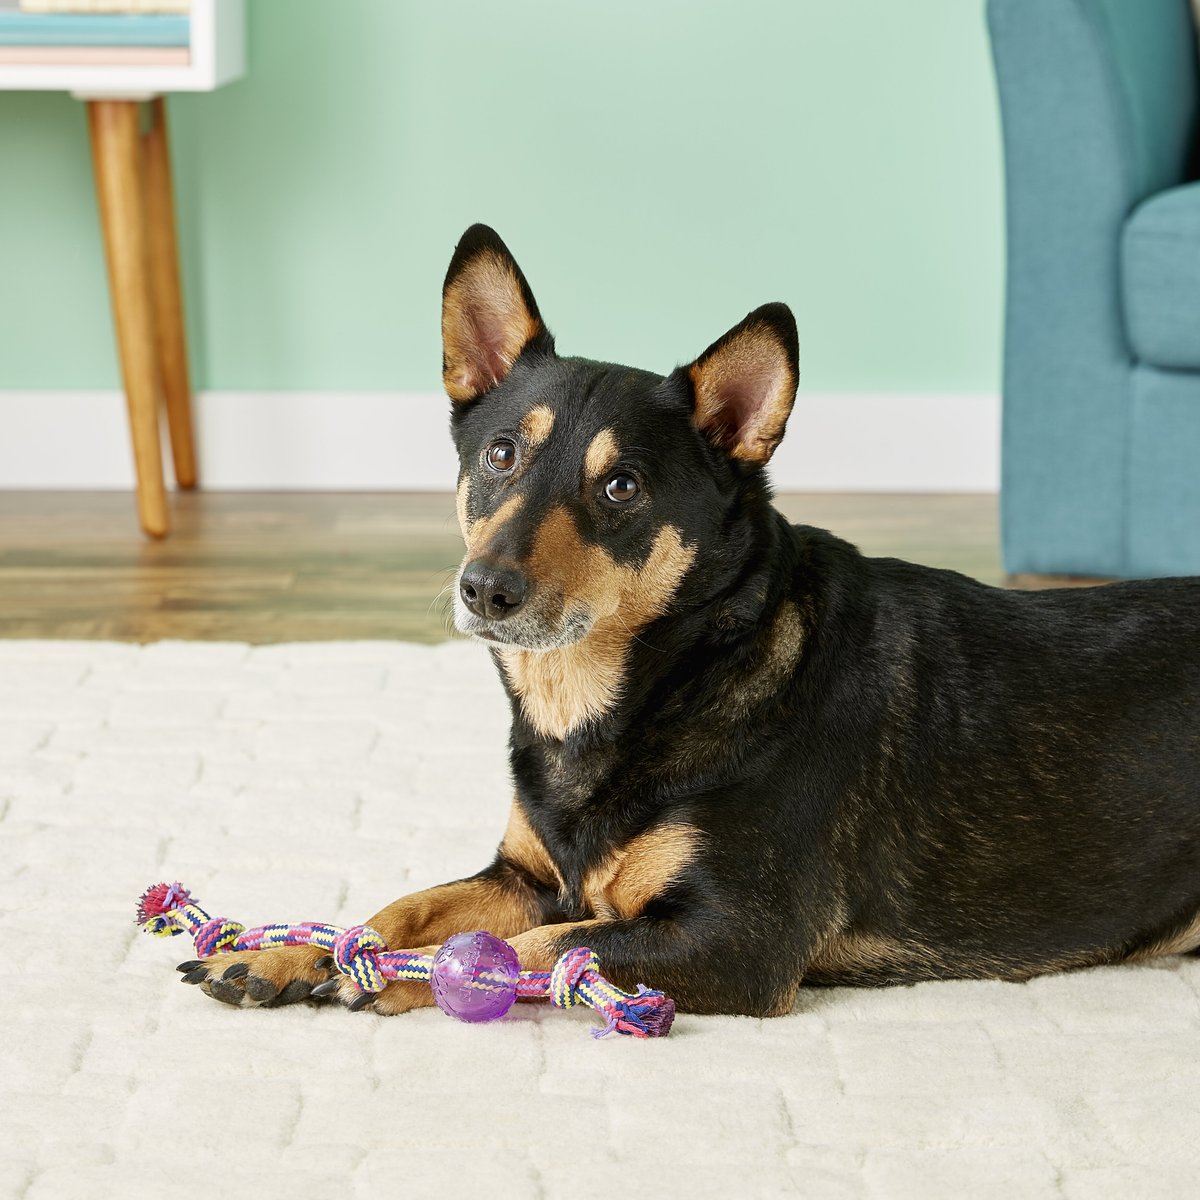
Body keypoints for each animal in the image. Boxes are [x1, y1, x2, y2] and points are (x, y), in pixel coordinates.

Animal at [187, 223, 1200, 1012]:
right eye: (502, 454)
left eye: (622, 487)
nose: (483, 589)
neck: (663, 680)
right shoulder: (526, 876)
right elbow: (396, 909)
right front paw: (288, 950)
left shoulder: (733, 938)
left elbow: (525, 952)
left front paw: (401, 975)